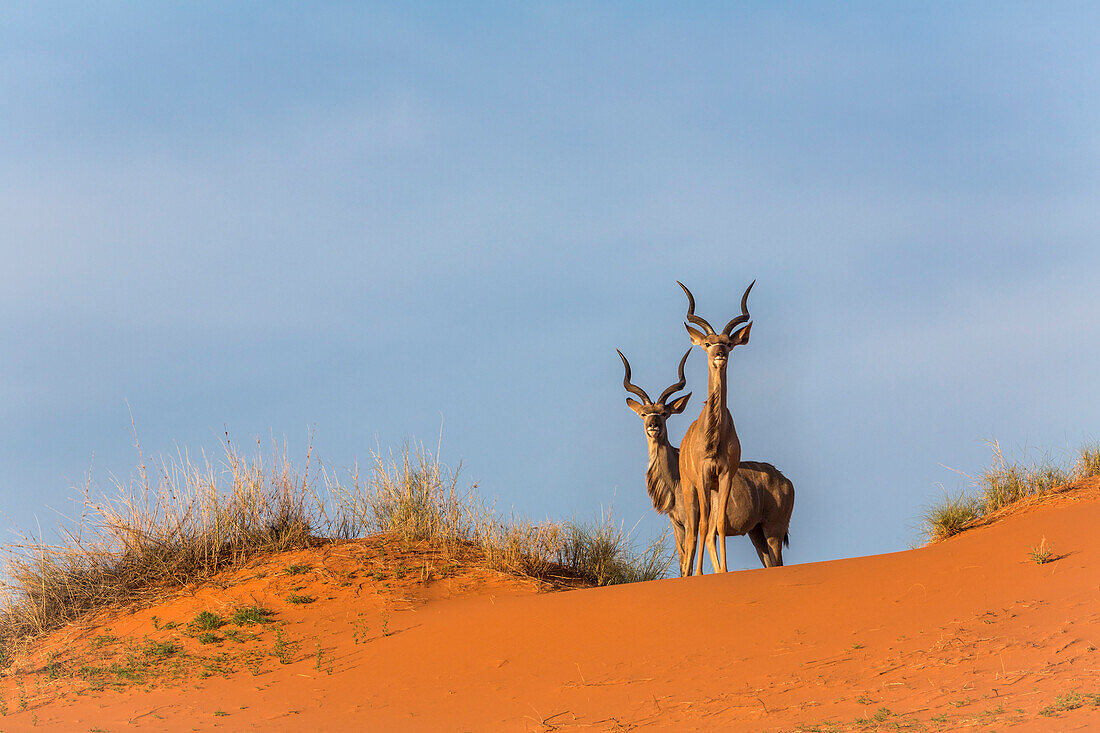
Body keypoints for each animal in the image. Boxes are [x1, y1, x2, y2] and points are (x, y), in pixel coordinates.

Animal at [677, 278, 756, 572]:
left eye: (729, 343)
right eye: (708, 342)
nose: (720, 354)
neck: (713, 439)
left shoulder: (724, 474)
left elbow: (719, 523)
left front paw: (723, 571)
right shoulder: (701, 475)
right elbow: (701, 526)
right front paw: (701, 573)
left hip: (710, 488)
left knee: (709, 527)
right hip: (690, 488)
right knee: (693, 529)